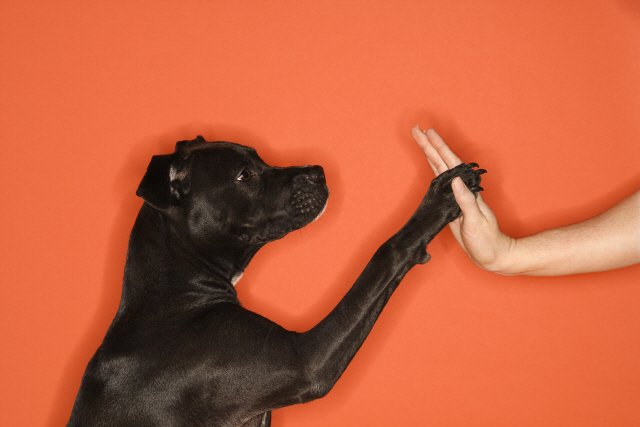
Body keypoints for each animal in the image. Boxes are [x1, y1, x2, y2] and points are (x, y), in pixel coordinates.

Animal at [66, 137, 484, 427]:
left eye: (260, 158)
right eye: (244, 175)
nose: (319, 171)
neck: (171, 294)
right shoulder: (304, 361)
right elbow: (385, 254)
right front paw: (439, 201)